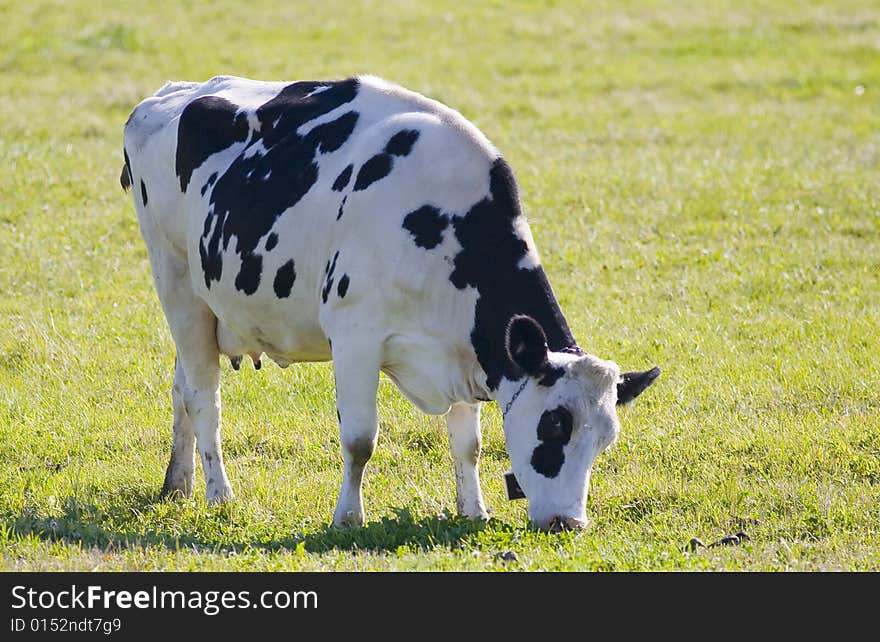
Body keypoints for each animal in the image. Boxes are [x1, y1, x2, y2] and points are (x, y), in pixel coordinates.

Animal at [124, 75, 660, 528]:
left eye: (605, 440)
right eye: (553, 427)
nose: (568, 523)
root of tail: (172, 94)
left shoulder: (464, 348)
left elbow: (469, 445)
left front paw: (474, 510)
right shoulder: (355, 335)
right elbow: (360, 439)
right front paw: (347, 518)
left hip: (204, 308)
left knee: (182, 387)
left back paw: (178, 483)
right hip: (175, 280)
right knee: (203, 396)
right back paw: (219, 494)